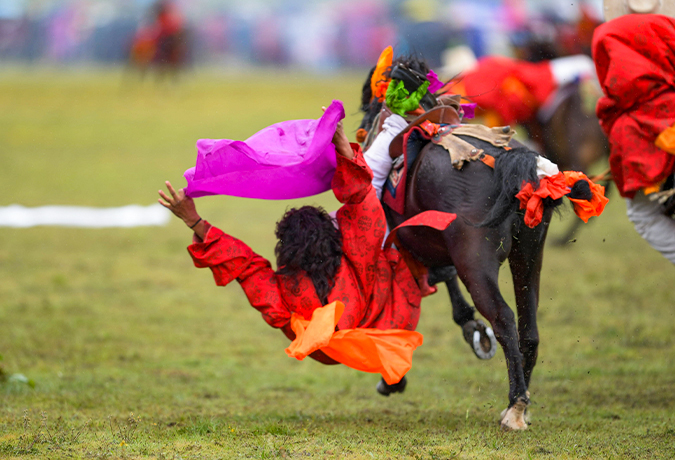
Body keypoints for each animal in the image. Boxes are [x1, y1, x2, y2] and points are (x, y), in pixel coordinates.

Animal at [357, 57, 596, 430]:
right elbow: (443, 279)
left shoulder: (406, 244)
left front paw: (392, 378)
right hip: (528, 255)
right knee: (529, 329)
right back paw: (520, 402)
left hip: (476, 262)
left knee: (504, 319)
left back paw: (516, 405)